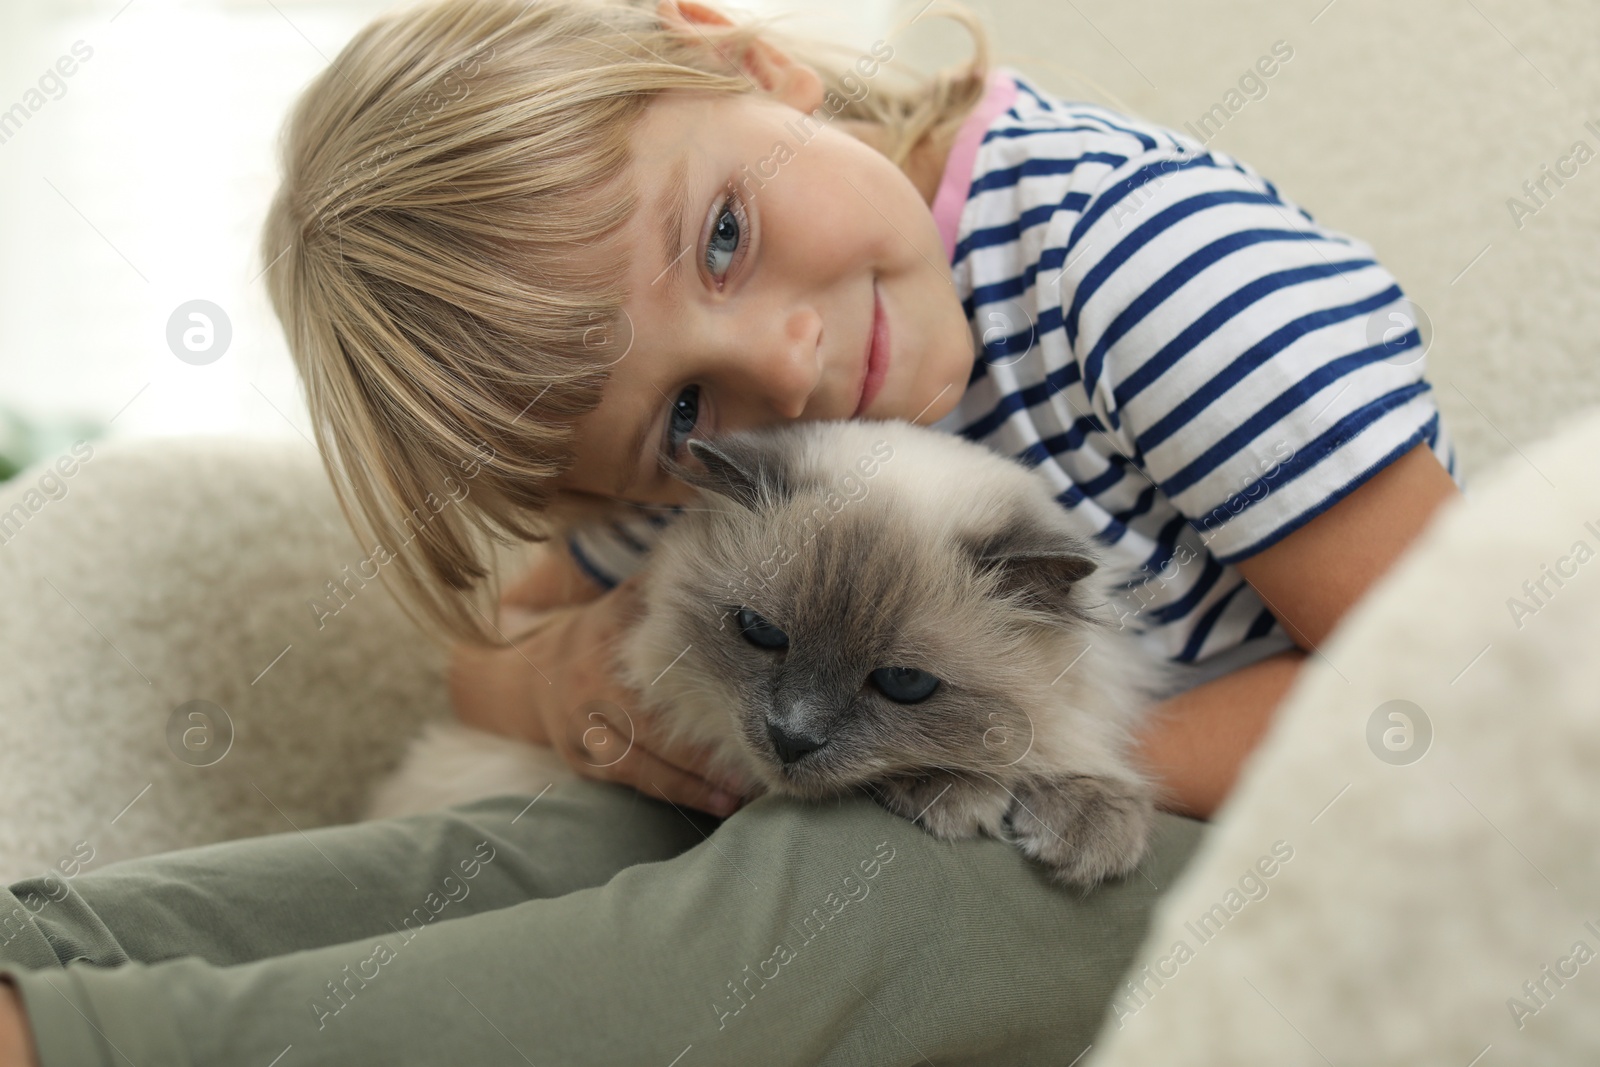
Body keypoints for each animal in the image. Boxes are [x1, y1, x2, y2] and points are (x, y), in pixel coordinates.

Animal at [371, 422, 1177, 889]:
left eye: (904, 683)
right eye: (760, 631)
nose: (792, 738)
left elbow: (1070, 743)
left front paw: (1087, 829)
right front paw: (966, 794)